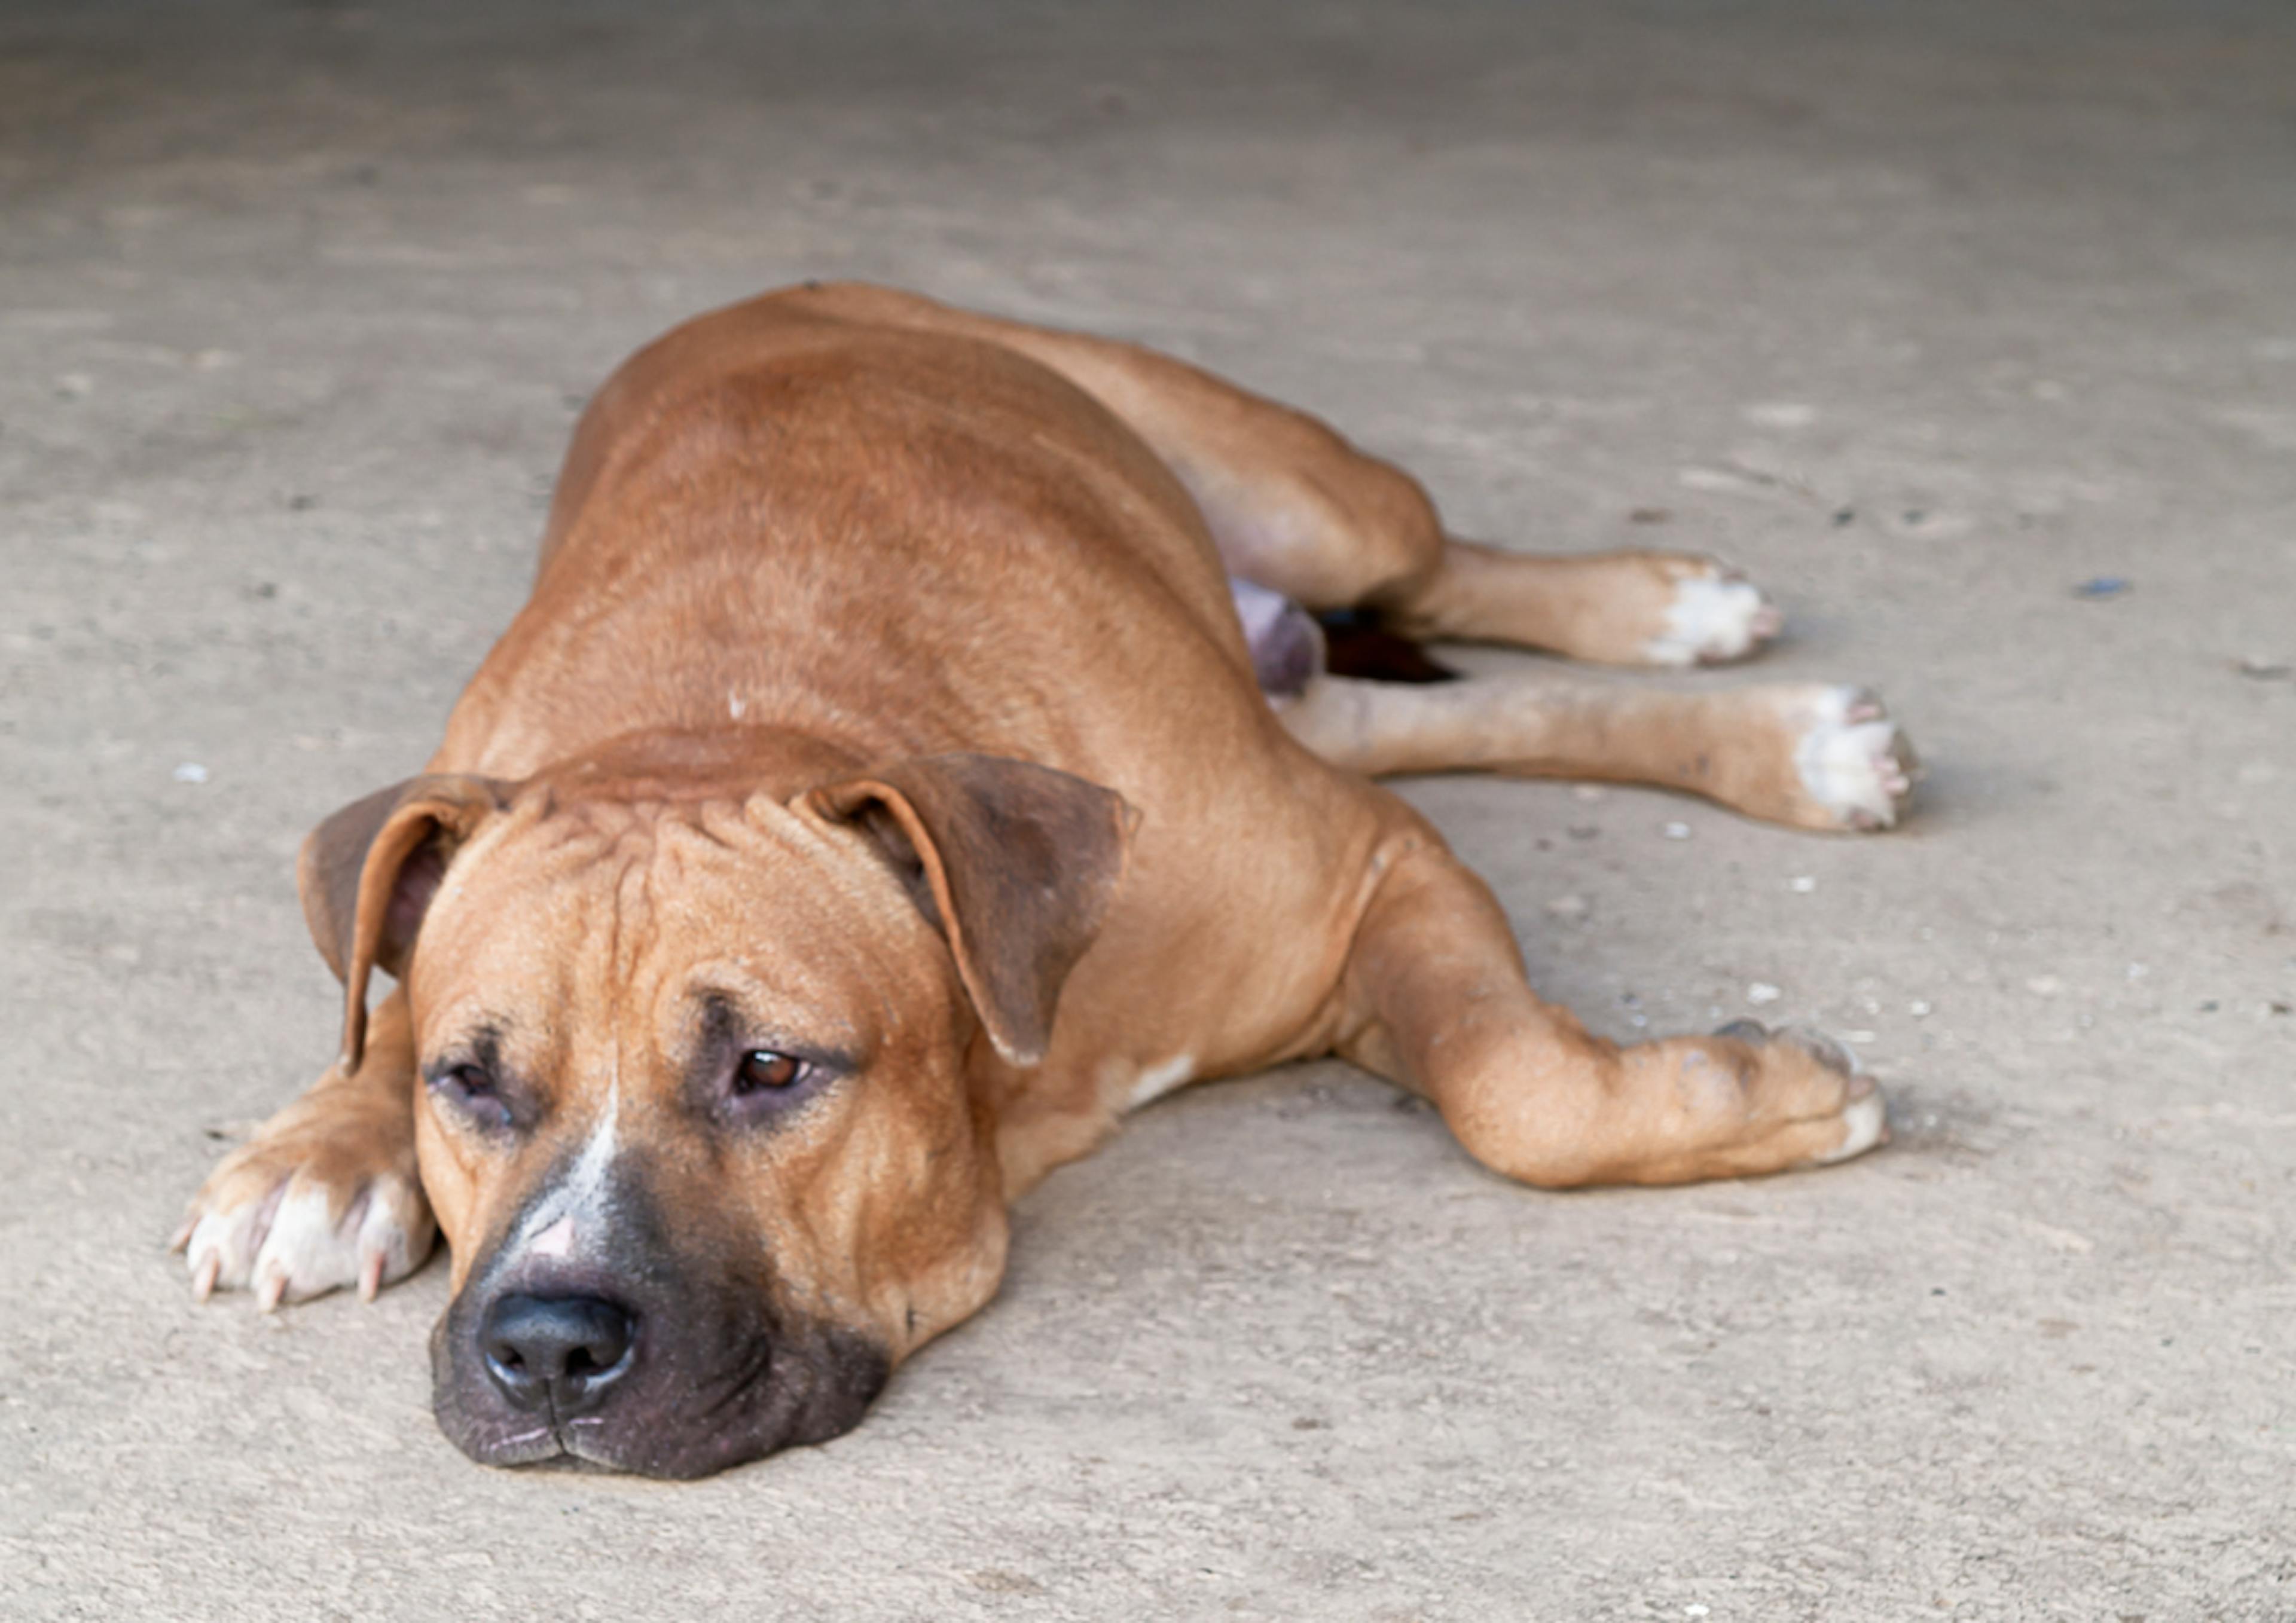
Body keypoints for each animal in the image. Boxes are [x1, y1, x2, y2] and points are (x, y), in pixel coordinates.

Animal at [174, 286, 1901, 1478]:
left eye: (769, 1068)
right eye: (472, 1081)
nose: (543, 1344)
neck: (729, 711)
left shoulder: (1367, 866)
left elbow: (1507, 1083)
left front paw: (1767, 1096)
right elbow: (374, 999)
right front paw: (324, 1148)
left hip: (1319, 496)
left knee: (1444, 571)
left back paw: (1687, 622)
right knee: (1412, 704)